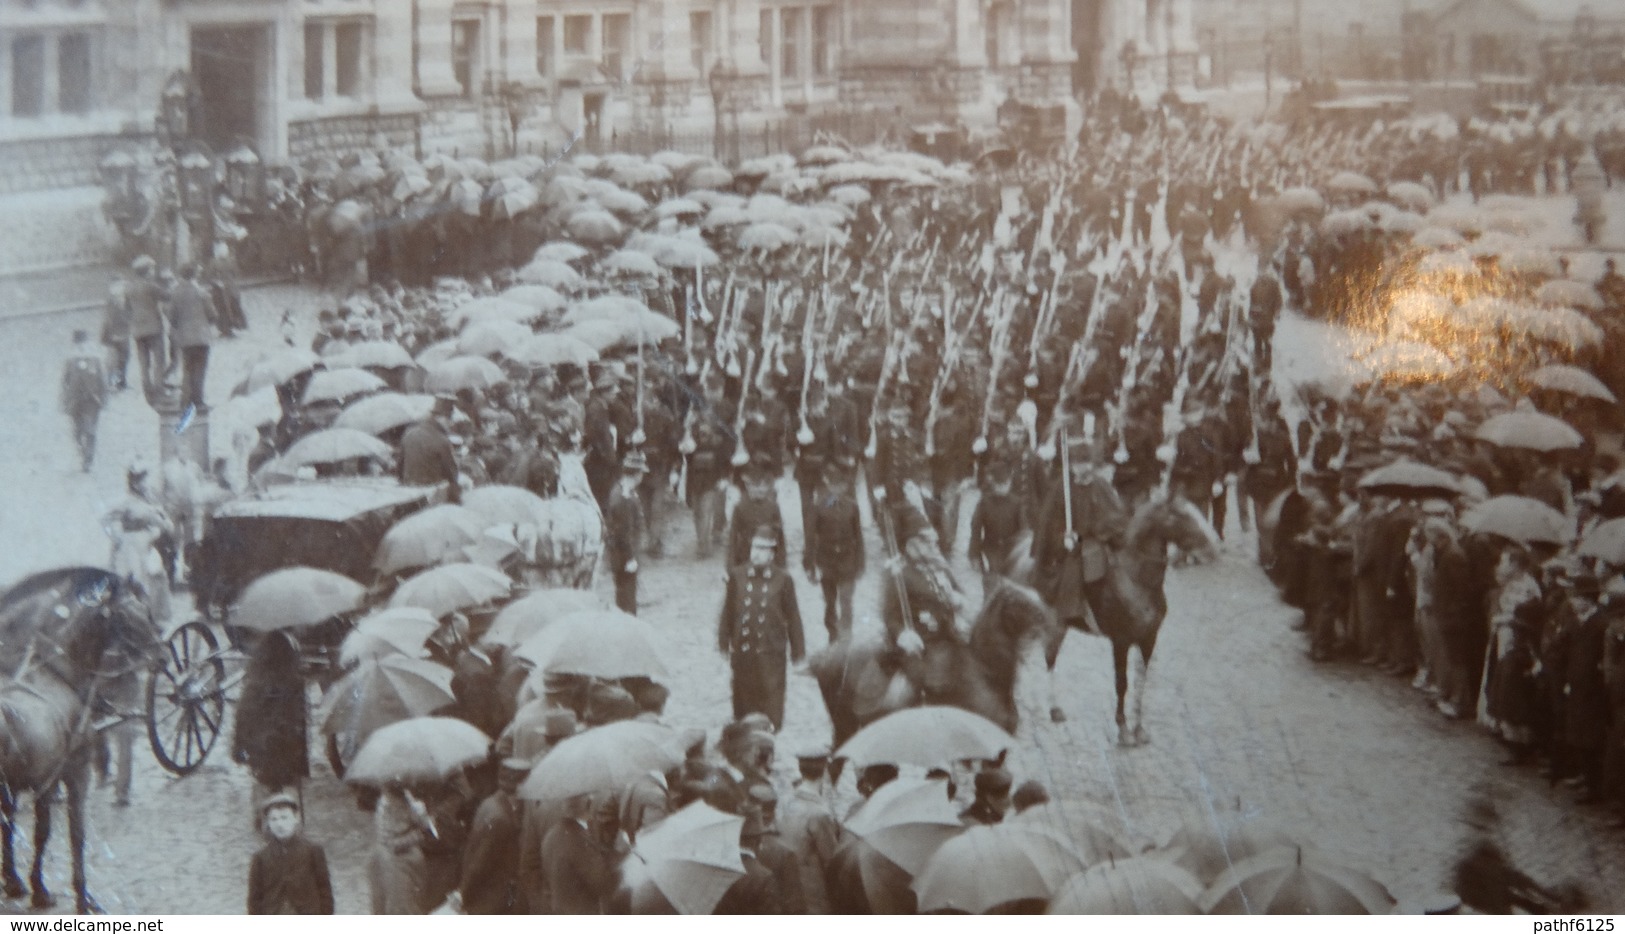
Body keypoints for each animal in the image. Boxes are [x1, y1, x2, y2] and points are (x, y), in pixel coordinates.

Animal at [1, 565, 158, 909]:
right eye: (124, 616)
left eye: (146, 610)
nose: (163, 655)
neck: (59, 675)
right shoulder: (71, 775)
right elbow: (72, 834)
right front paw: (76, 895)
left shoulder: (39, 784)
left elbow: (33, 831)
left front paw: (25, 884)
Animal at [809, 575, 1053, 750]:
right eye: (1018, 600)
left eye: (1034, 593)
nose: (1047, 617)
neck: (985, 670)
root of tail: (823, 658)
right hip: (846, 725)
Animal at [1014, 493, 1222, 750]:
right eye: (1180, 516)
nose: (1213, 547)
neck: (1137, 580)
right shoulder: (1121, 641)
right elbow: (1121, 684)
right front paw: (1123, 730)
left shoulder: (1148, 639)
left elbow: (1141, 683)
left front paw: (1139, 729)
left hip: (1057, 628)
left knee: (1048, 660)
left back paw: (1053, 710)